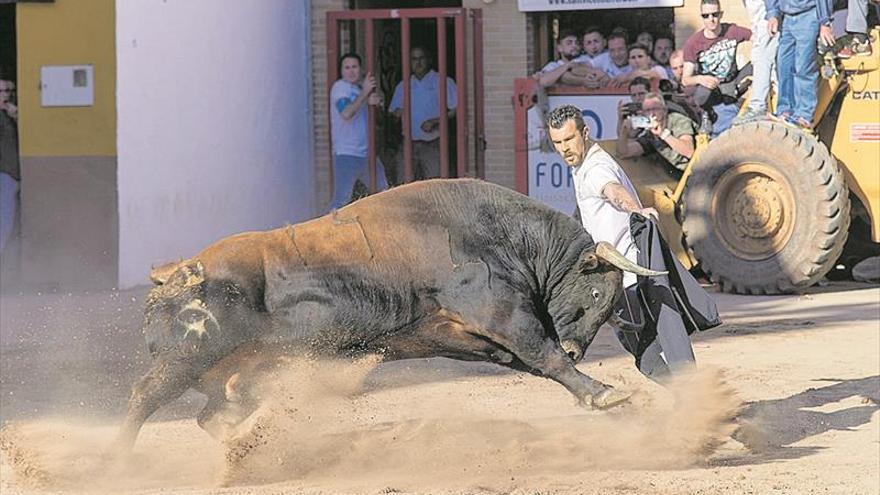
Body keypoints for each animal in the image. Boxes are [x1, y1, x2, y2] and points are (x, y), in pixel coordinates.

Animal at [115, 179, 660, 454]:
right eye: (595, 292)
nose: (577, 347)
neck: (502, 234)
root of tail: (177, 271)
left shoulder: (461, 335)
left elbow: (531, 362)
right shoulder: (502, 313)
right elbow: (544, 356)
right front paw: (606, 393)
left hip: (230, 370)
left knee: (212, 411)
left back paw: (244, 444)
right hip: (185, 358)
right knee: (143, 398)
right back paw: (119, 459)